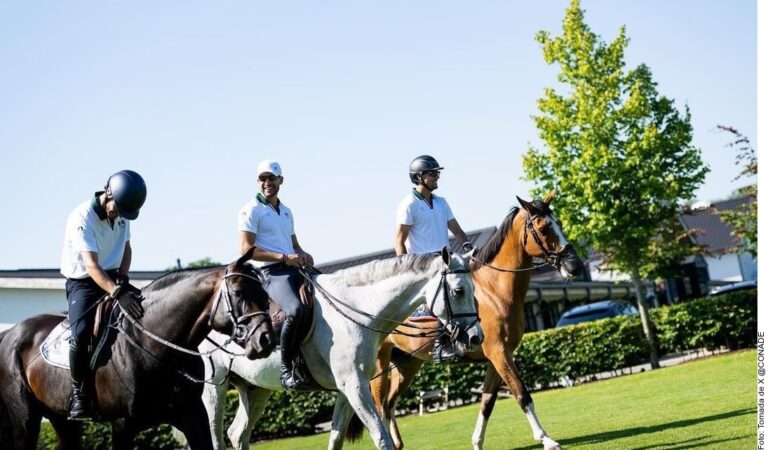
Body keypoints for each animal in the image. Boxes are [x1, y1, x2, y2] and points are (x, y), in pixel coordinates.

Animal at [0, 248, 276, 448]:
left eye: (263, 292)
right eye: (239, 292)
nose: (266, 339)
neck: (155, 346)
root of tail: (8, 335)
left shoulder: (192, 415)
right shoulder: (123, 425)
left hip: (61, 420)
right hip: (25, 420)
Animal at [354, 193, 584, 450]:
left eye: (560, 224)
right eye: (544, 229)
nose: (575, 266)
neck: (494, 291)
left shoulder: (498, 357)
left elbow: (487, 402)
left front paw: (477, 442)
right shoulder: (499, 353)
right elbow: (521, 394)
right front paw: (546, 439)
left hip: (407, 365)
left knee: (389, 403)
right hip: (381, 364)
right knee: (378, 405)